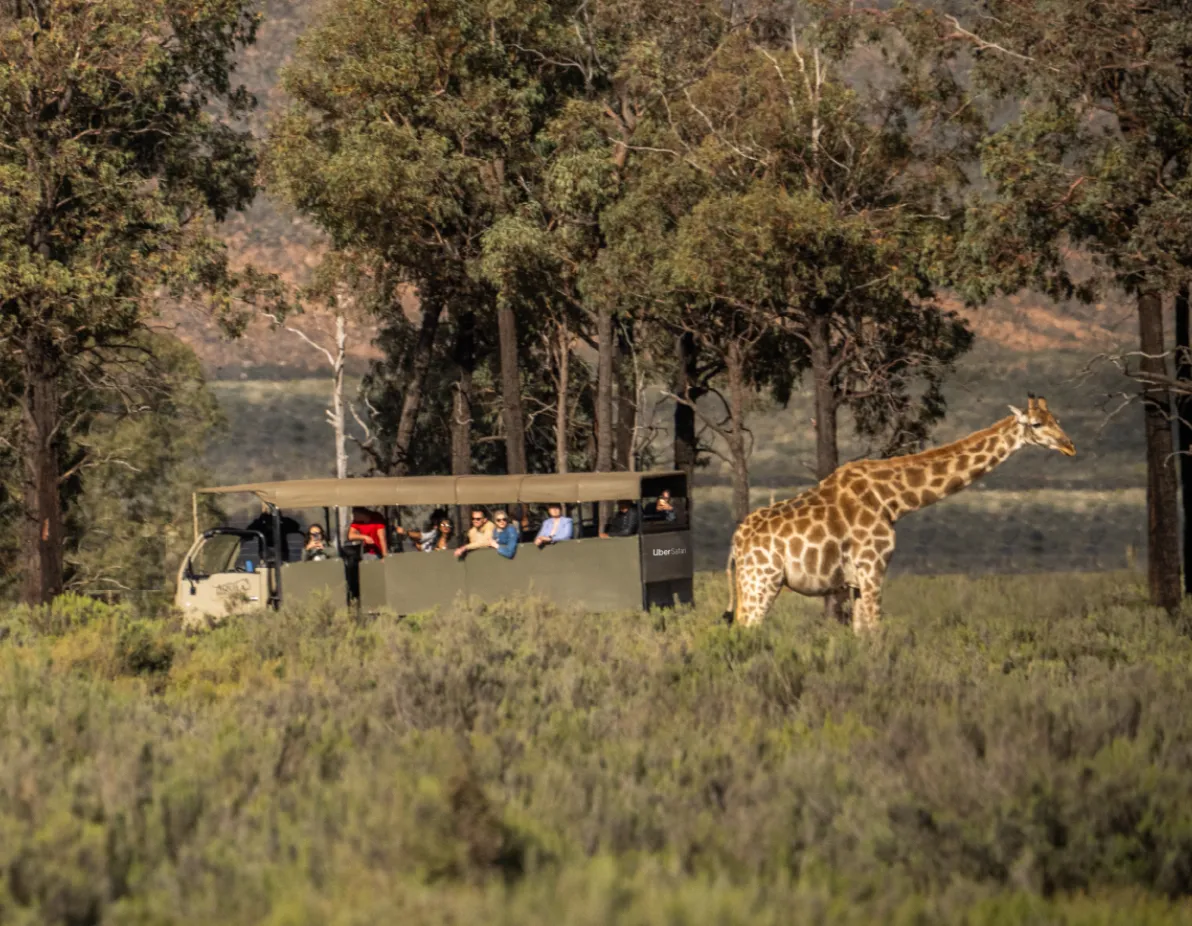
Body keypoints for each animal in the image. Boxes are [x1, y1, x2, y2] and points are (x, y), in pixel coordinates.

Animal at [719, 393, 1077, 634]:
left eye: (1057, 419)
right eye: (1036, 424)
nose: (1070, 447)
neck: (893, 500)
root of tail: (735, 545)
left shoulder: (856, 580)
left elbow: (862, 635)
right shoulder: (873, 568)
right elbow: (876, 633)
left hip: (751, 584)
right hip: (762, 581)